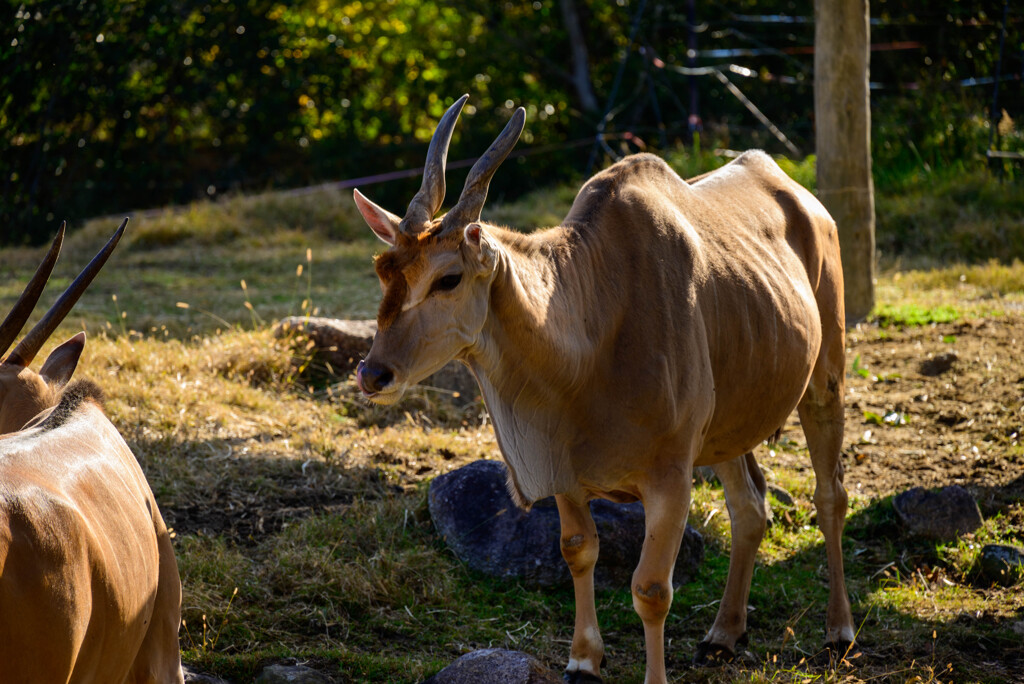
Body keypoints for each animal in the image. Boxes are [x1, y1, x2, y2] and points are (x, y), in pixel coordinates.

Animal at [356, 96, 851, 684]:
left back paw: (839, 632)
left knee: (830, 494)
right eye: (383, 270)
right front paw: (583, 660)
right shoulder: (570, 477)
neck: (595, 321)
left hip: (825, 381)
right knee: (750, 507)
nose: (373, 374)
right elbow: (577, 550)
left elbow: (651, 589)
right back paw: (724, 635)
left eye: (447, 278)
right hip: (726, 428)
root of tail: (802, 197)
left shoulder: (670, 479)